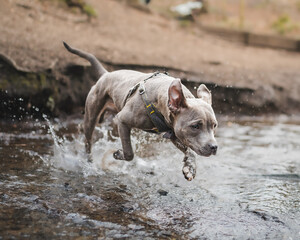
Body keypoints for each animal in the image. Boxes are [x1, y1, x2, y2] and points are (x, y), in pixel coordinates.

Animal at [63, 41, 218, 180]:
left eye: (214, 125)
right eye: (195, 126)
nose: (214, 147)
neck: (160, 102)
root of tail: (106, 74)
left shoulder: (175, 133)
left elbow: (191, 151)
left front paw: (190, 168)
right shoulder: (122, 121)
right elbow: (129, 152)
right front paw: (118, 154)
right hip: (91, 115)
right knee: (88, 141)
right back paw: (89, 161)